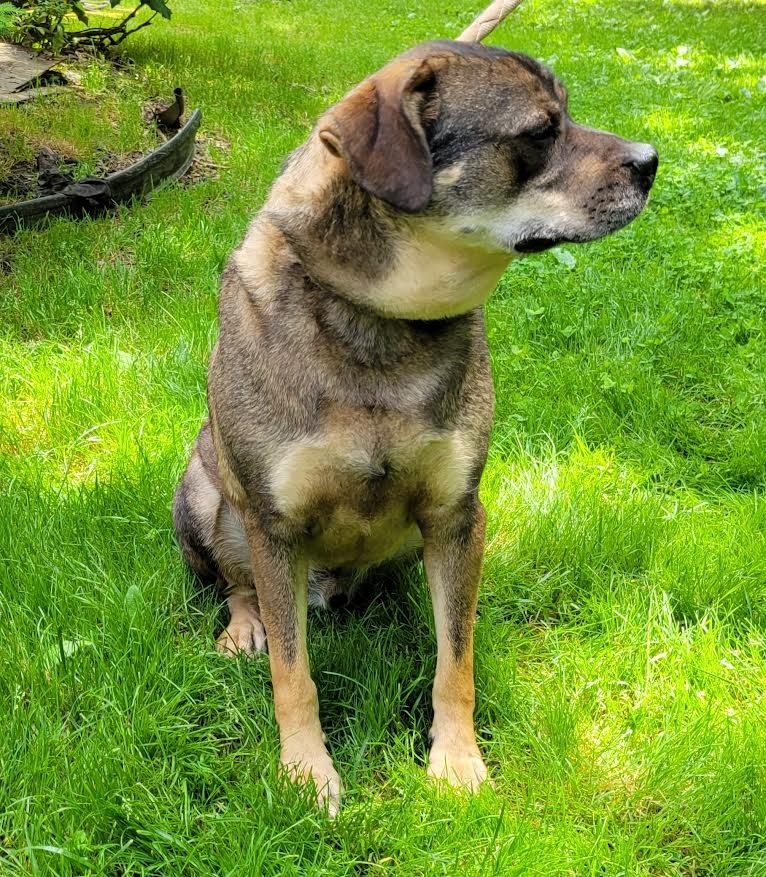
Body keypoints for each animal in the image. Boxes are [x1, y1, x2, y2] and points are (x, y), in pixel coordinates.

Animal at [174, 37, 660, 812]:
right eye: (540, 131)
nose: (651, 159)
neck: (382, 322)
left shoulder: (458, 513)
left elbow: (455, 658)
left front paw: (456, 759)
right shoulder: (274, 524)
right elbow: (293, 673)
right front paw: (306, 771)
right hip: (201, 490)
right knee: (238, 583)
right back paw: (245, 625)